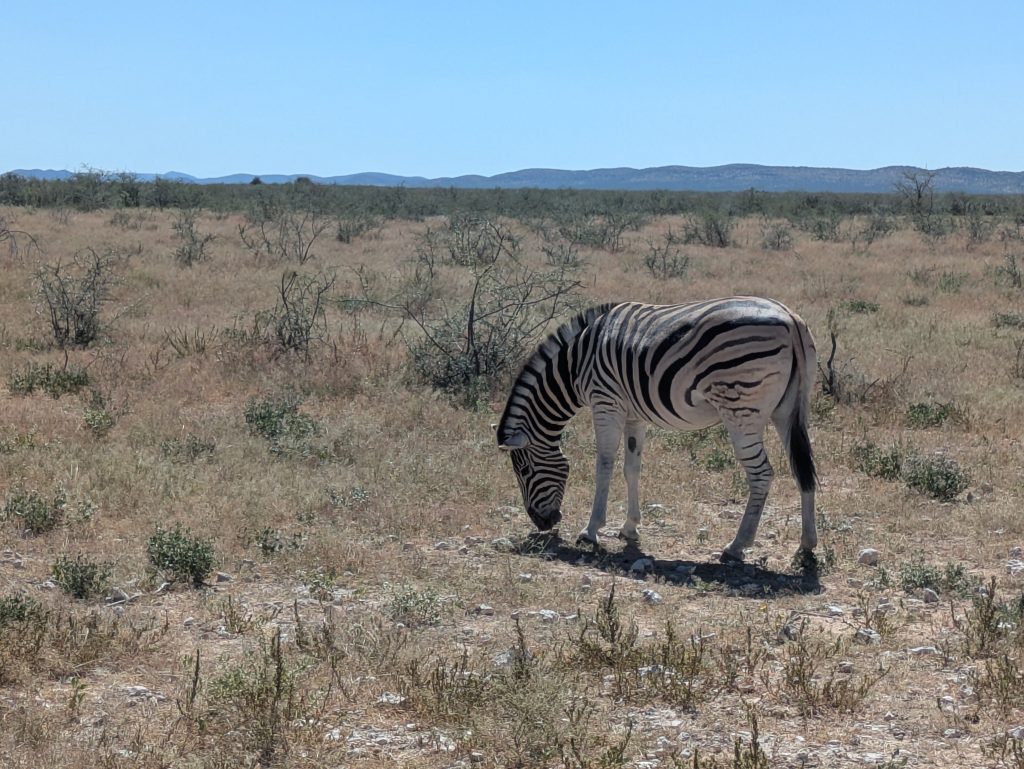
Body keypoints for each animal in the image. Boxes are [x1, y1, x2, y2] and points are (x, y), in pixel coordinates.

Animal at [495, 296, 818, 563]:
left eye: (523, 471)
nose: (544, 524)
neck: (575, 364)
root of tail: (791, 319)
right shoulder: (633, 413)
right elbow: (631, 468)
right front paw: (629, 528)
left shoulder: (605, 403)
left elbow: (604, 465)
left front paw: (591, 531)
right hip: (788, 410)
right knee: (803, 471)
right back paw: (806, 544)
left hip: (742, 410)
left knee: (762, 475)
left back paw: (737, 546)